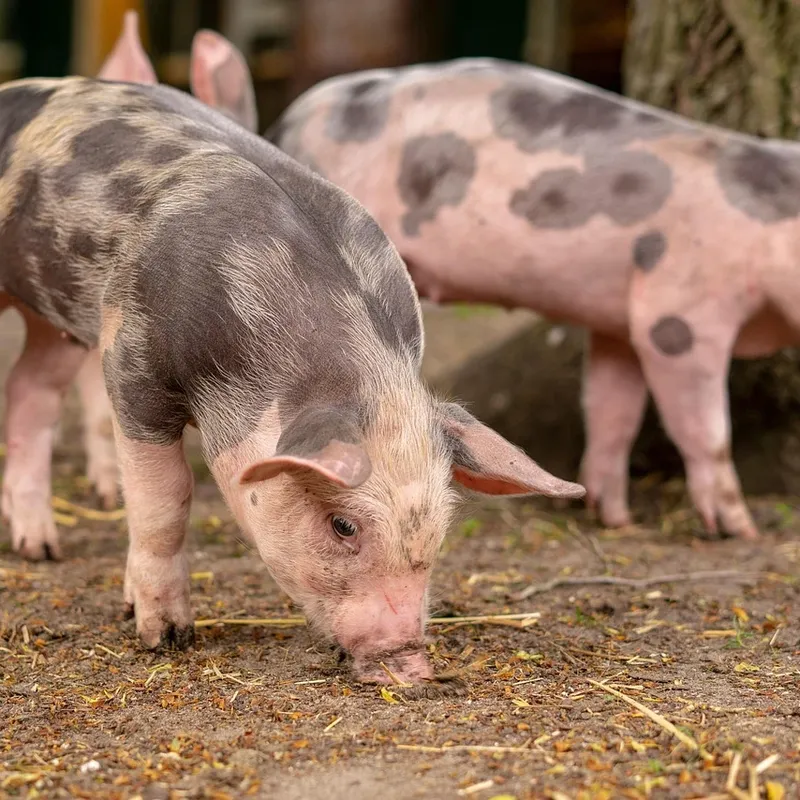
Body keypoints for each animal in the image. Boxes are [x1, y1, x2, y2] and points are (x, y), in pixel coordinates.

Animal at [0, 72, 583, 681]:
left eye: (442, 524)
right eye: (342, 525)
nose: (412, 664)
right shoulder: (131, 361)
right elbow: (165, 500)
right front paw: (165, 637)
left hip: (52, 317)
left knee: (30, 390)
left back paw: (39, 549)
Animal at [189, 51, 800, 541]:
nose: (749, 529)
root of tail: (286, 122)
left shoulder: (618, 321)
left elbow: (612, 411)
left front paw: (615, 518)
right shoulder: (678, 314)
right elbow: (707, 430)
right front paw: (741, 531)